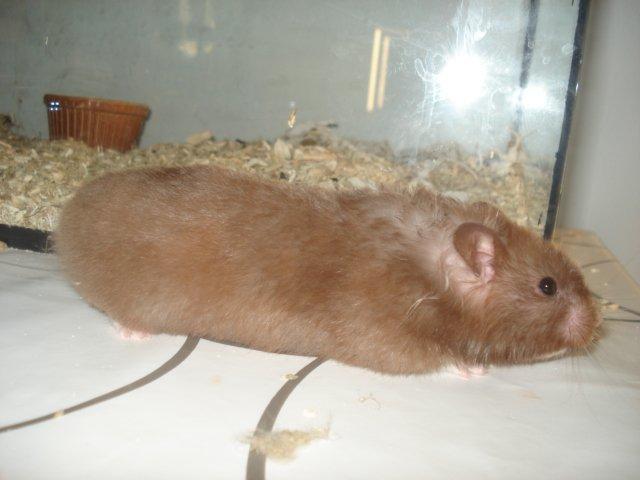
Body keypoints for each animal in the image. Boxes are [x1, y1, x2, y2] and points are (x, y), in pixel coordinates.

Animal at [54, 165, 601, 375]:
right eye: (547, 286)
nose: (598, 326)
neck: (430, 278)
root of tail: (65, 220)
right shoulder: (388, 339)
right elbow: (443, 356)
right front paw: (475, 367)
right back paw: (134, 333)